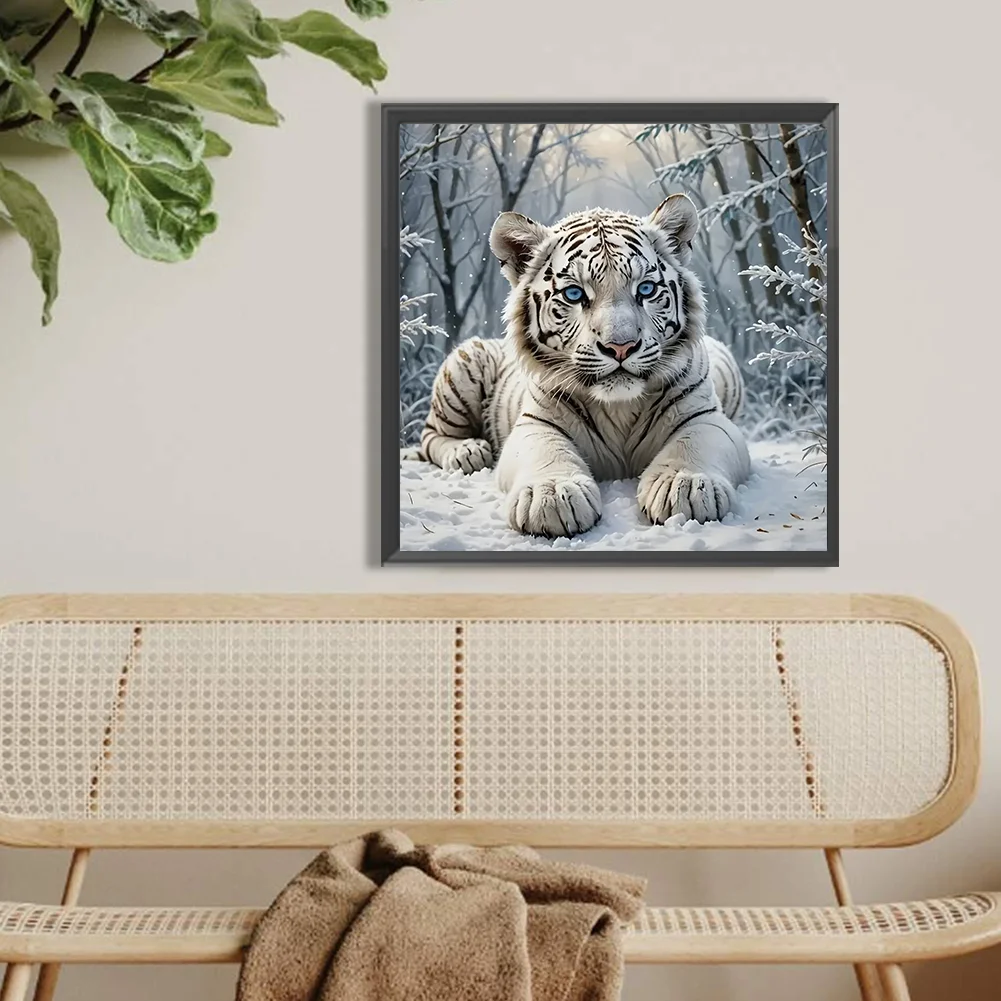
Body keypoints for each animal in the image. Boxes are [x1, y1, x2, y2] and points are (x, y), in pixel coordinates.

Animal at [417, 193, 751, 538]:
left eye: (645, 289)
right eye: (574, 294)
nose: (621, 346)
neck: (620, 406)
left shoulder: (706, 417)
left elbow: (692, 445)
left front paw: (684, 485)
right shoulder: (536, 423)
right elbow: (546, 450)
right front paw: (552, 495)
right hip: (465, 362)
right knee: (429, 437)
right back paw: (467, 452)